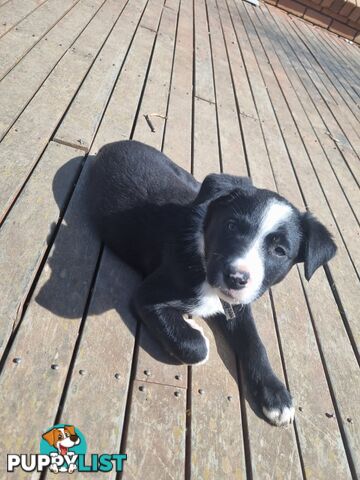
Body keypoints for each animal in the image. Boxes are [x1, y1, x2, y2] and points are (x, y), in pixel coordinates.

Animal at [88, 141, 336, 426]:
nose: (236, 278)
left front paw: (276, 395)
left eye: (280, 251)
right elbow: (195, 346)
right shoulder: (147, 295)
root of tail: (114, 144)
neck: (203, 256)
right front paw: (194, 328)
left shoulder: (238, 306)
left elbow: (255, 344)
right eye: (230, 226)